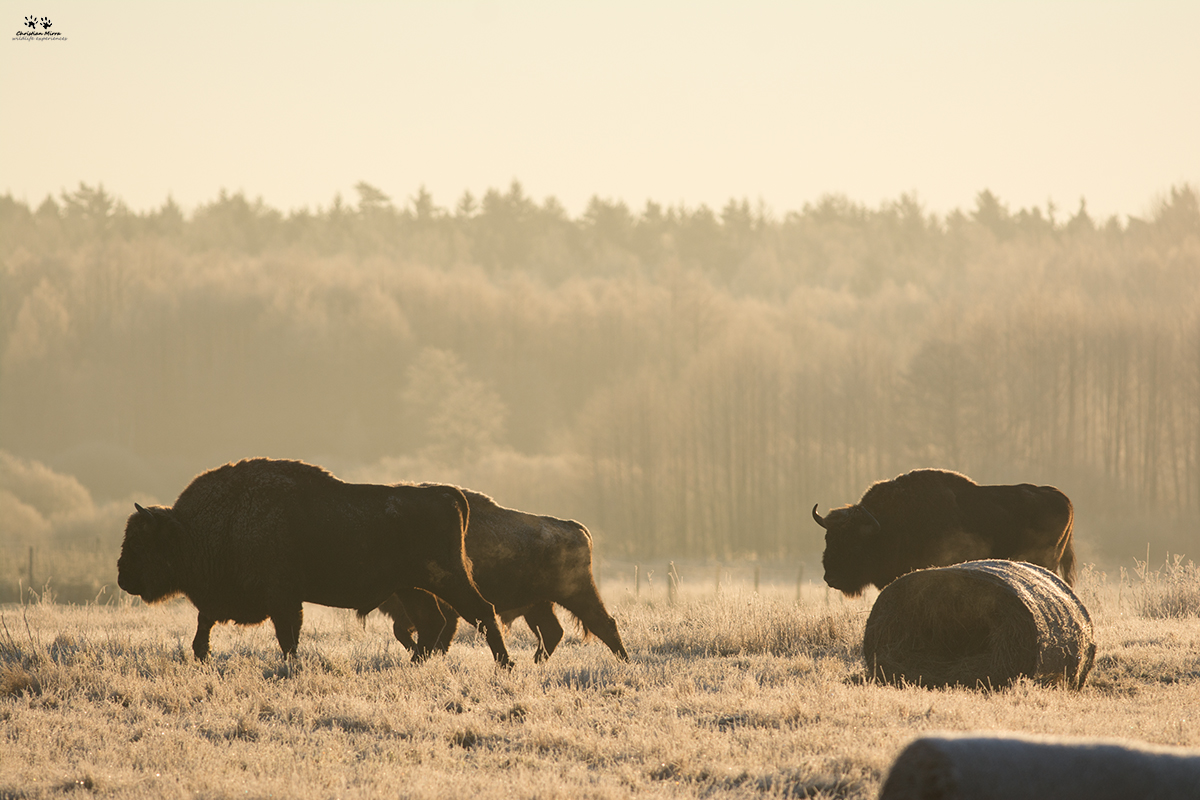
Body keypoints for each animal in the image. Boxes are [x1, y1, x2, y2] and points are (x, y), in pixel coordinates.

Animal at [119, 460, 513, 666]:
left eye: (140, 542)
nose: (123, 577)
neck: (192, 528)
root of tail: (448, 494)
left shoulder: (282, 599)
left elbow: (287, 637)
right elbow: (204, 626)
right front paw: (201, 657)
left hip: (445, 578)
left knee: (480, 611)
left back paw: (504, 664)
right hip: (412, 587)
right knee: (435, 623)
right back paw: (417, 664)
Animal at [364, 491, 628, 666]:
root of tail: (575, 527)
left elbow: (427, 631)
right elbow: (406, 630)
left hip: (576, 593)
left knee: (603, 623)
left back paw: (624, 661)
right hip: (539, 605)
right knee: (553, 631)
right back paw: (536, 663)